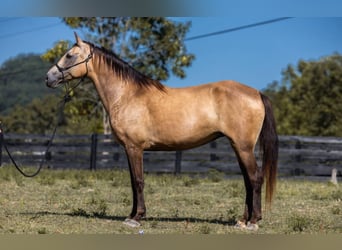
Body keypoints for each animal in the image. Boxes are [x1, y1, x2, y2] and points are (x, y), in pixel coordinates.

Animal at [45, 33, 278, 230]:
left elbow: (138, 181)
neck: (127, 95)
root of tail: (257, 93)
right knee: (247, 180)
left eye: (69, 55)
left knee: (255, 178)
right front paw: (131, 215)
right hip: (238, 147)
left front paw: (137, 217)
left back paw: (253, 221)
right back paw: (242, 220)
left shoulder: (134, 147)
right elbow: (133, 182)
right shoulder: (130, 149)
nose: (48, 77)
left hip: (243, 147)